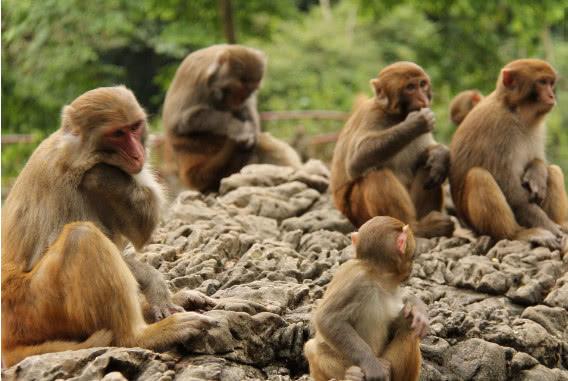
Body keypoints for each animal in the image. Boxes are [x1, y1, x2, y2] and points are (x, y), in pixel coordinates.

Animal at [2, 86, 215, 366]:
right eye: (117, 134)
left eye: (134, 127)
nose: (137, 153)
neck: (83, 159)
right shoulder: (63, 183)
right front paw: (154, 282)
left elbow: (133, 230)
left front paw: (110, 178)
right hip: (34, 308)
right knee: (81, 236)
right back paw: (141, 336)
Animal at [162, 44, 302, 191]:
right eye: (240, 89)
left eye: (250, 91)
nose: (241, 100)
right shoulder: (196, 78)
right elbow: (182, 121)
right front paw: (240, 130)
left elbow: (250, 114)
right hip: (206, 169)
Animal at [304, 217, 428, 380]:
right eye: (412, 256)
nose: (411, 270)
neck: (376, 273)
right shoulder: (357, 280)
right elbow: (328, 319)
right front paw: (371, 365)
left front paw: (416, 306)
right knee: (312, 348)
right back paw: (351, 375)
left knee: (409, 330)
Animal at [330, 60, 454, 238]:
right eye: (410, 87)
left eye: (422, 84)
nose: (422, 98)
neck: (397, 117)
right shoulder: (372, 115)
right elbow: (355, 161)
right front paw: (416, 123)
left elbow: (426, 155)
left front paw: (440, 153)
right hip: (360, 214)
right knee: (375, 173)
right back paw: (415, 228)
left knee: (428, 167)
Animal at [450, 58, 564, 249]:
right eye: (542, 82)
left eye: (550, 83)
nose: (551, 96)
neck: (515, 110)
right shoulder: (498, 127)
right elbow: (509, 188)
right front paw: (549, 226)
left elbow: (538, 160)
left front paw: (537, 173)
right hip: (478, 226)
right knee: (479, 176)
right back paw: (518, 234)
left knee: (554, 170)